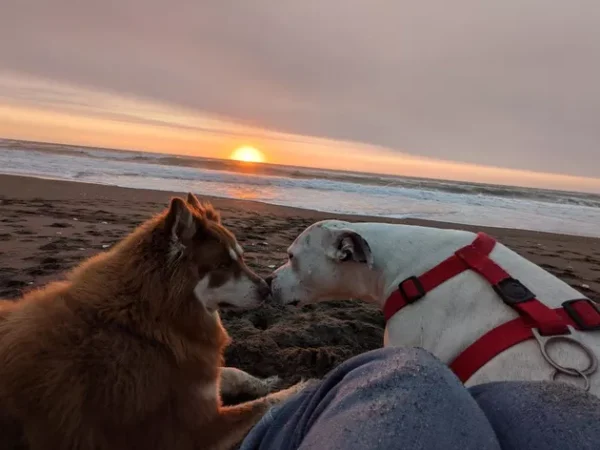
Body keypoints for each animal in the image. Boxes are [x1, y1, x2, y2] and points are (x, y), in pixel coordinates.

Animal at [0, 193, 304, 450]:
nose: (267, 289)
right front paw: (298, 388)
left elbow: (230, 372)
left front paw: (263, 380)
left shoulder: (195, 380)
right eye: (222, 266)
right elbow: (266, 406)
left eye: (241, 258)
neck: (150, 322)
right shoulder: (194, 432)